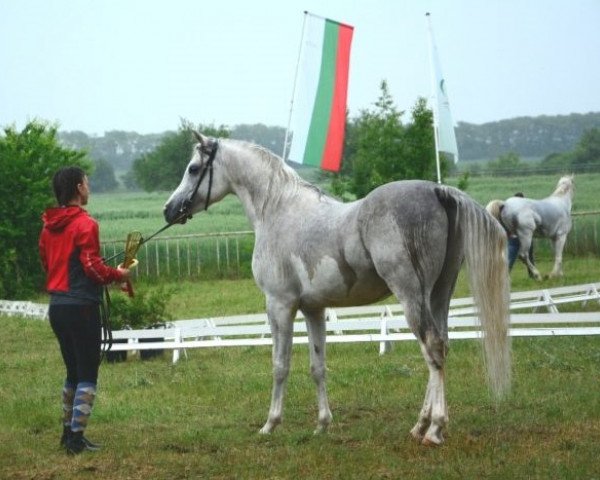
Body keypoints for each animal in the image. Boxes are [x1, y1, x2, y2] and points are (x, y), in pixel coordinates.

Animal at [164, 132, 510, 446]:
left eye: (193, 168)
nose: (169, 209)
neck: (277, 210)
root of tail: (438, 190)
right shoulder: (313, 309)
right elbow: (318, 366)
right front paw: (322, 424)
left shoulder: (279, 305)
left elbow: (280, 365)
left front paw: (270, 424)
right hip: (439, 295)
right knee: (440, 347)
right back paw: (420, 426)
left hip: (412, 295)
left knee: (432, 348)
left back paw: (435, 430)